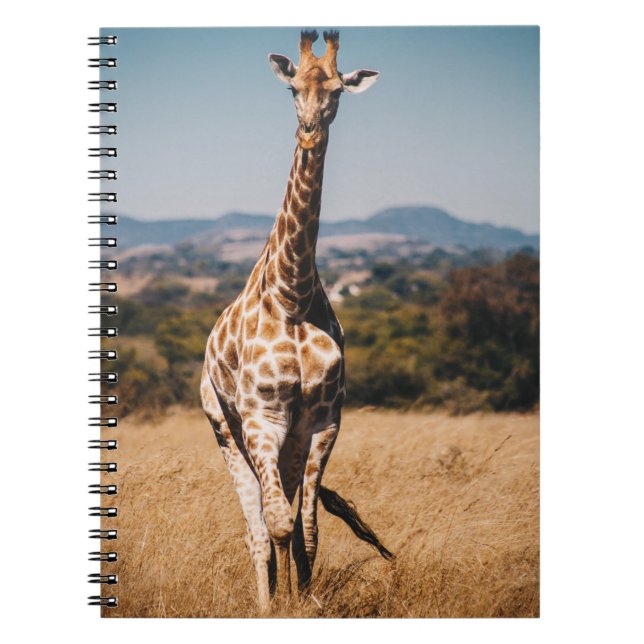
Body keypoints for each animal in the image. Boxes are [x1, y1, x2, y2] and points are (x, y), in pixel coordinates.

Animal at [200, 29, 391, 613]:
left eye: (337, 90)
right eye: (291, 89)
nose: (309, 130)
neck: (294, 296)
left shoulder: (323, 422)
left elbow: (307, 529)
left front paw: (308, 604)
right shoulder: (262, 418)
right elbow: (278, 524)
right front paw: (281, 608)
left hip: (286, 440)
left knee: (283, 514)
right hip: (225, 426)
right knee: (257, 527)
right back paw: (266, 601)